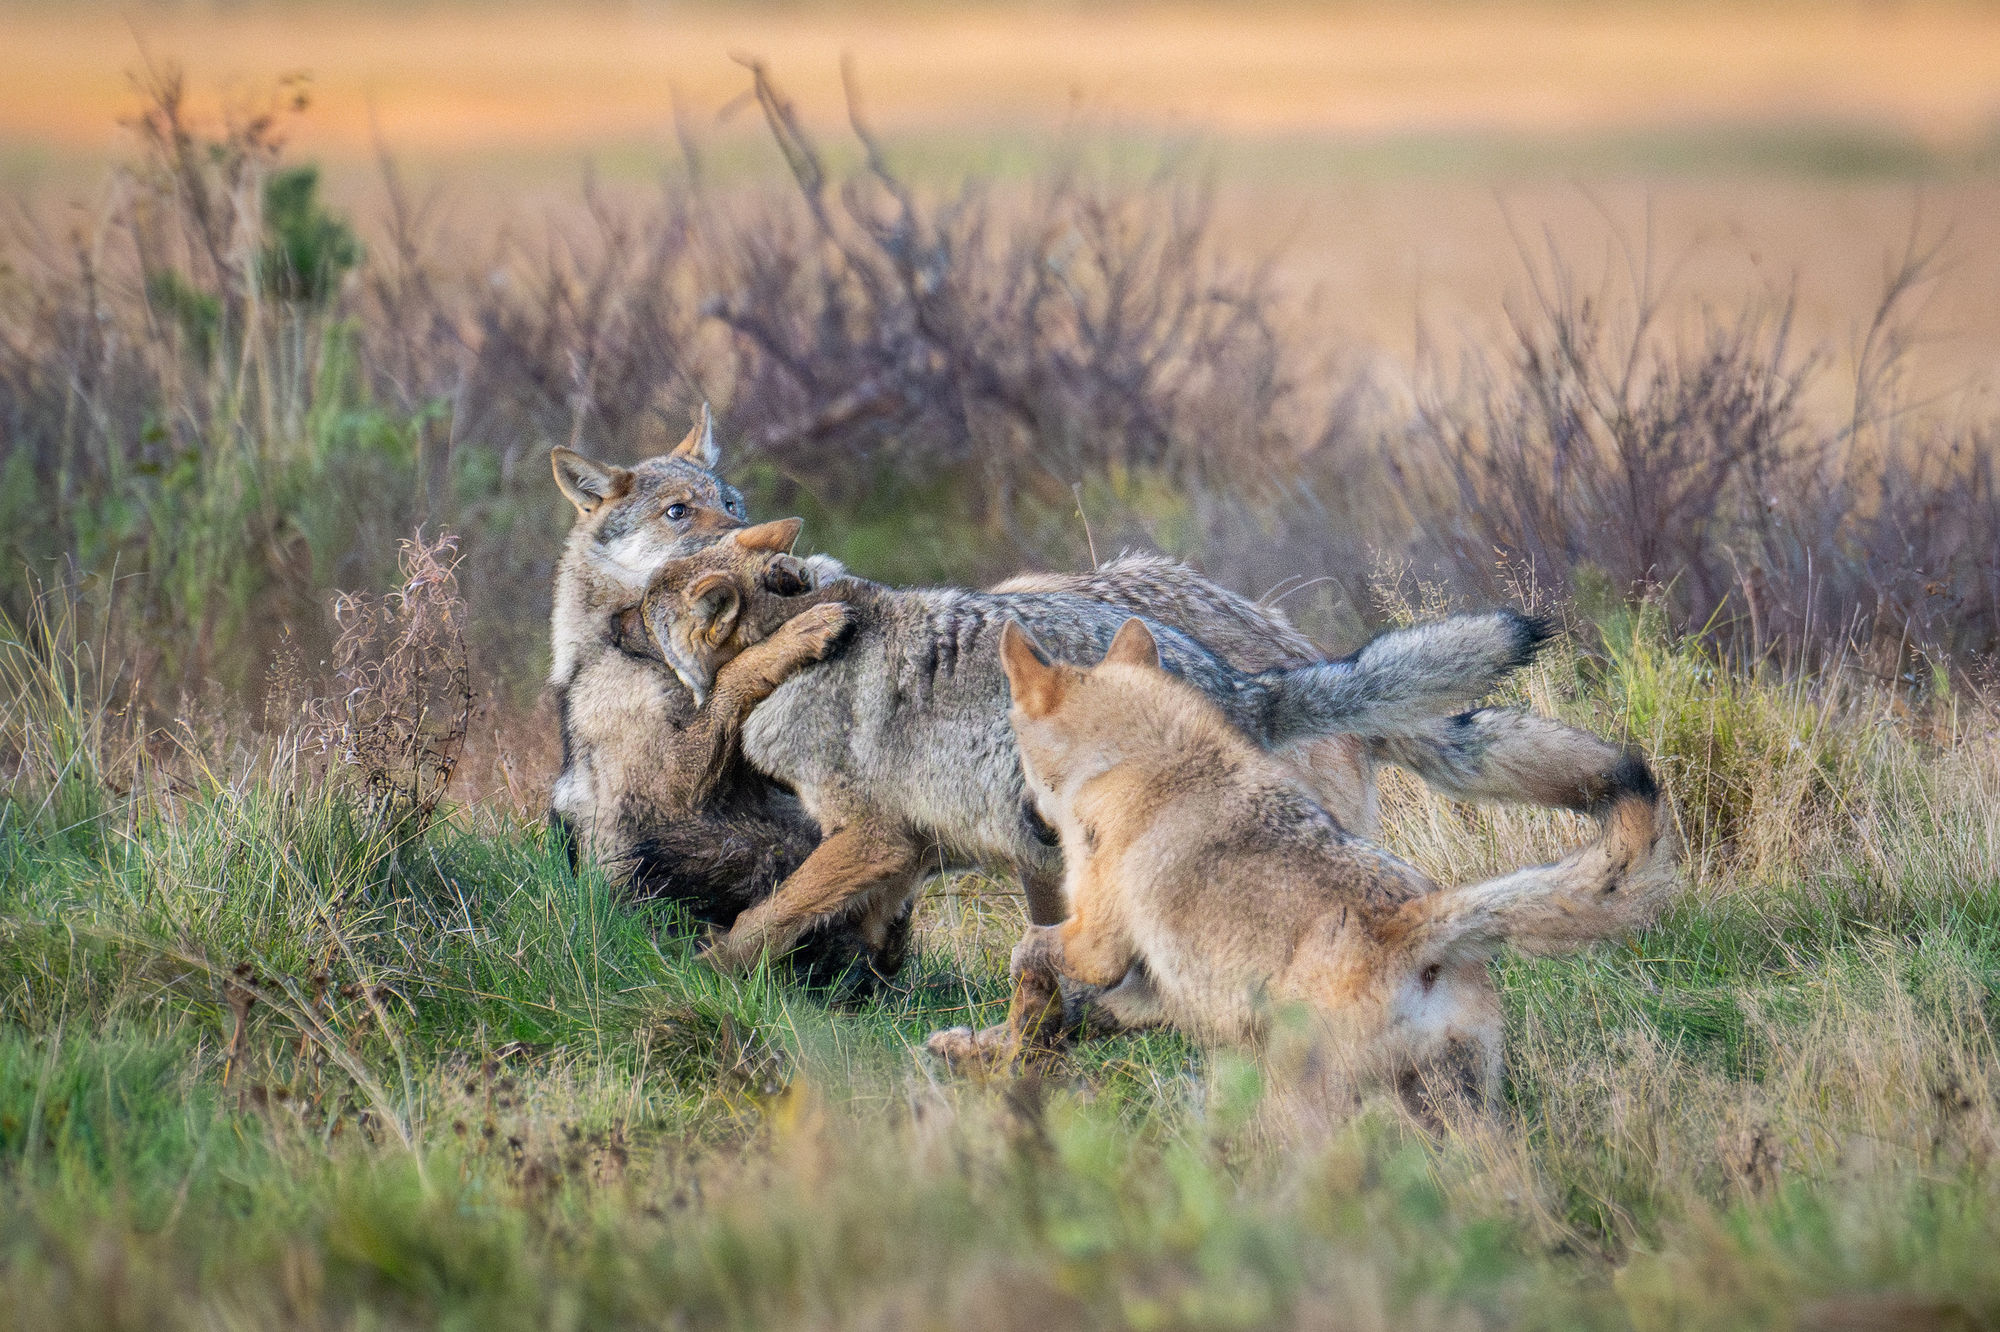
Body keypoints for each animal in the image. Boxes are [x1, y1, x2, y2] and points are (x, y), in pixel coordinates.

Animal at [934, 617, 1677, 1119]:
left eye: (1017, 756)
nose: (1028, 818)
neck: (1139, 762)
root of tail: (1416, 923)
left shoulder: (1098, 948)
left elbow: (1030, 950)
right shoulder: (1153, 990)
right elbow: (1067, 1015)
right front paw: (976, 1046)